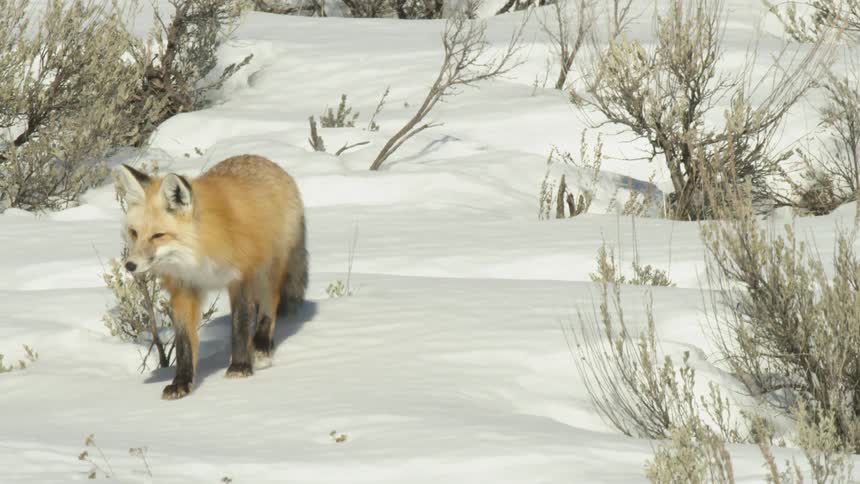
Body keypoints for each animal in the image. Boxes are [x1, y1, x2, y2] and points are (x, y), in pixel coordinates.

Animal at [113, 154, 308, 400]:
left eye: (158, 235)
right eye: (134, 233)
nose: (130, 265)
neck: (197, 252)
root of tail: (264, 160)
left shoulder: (240, 278)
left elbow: (240, 326)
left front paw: (240, 367)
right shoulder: (184, 288)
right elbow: (184, 343)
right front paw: (181, 382)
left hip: (268, 270)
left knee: (269, 307)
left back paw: (262, 347)